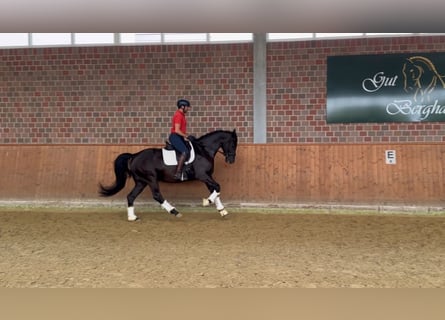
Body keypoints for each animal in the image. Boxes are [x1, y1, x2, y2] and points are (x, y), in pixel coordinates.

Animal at [97, 129, 236, 221]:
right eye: (233, 143)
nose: (231, 160)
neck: (203, 150)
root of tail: (134, 156)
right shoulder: (203, 175)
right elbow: (217, 187)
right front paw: (207, 202)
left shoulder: (207, 176)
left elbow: (215, 190)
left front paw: (222, 210)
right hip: (151, 178)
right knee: (157, 195)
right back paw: (174, 211)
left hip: (141, 181)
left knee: (131, 196)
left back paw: (132, 217)